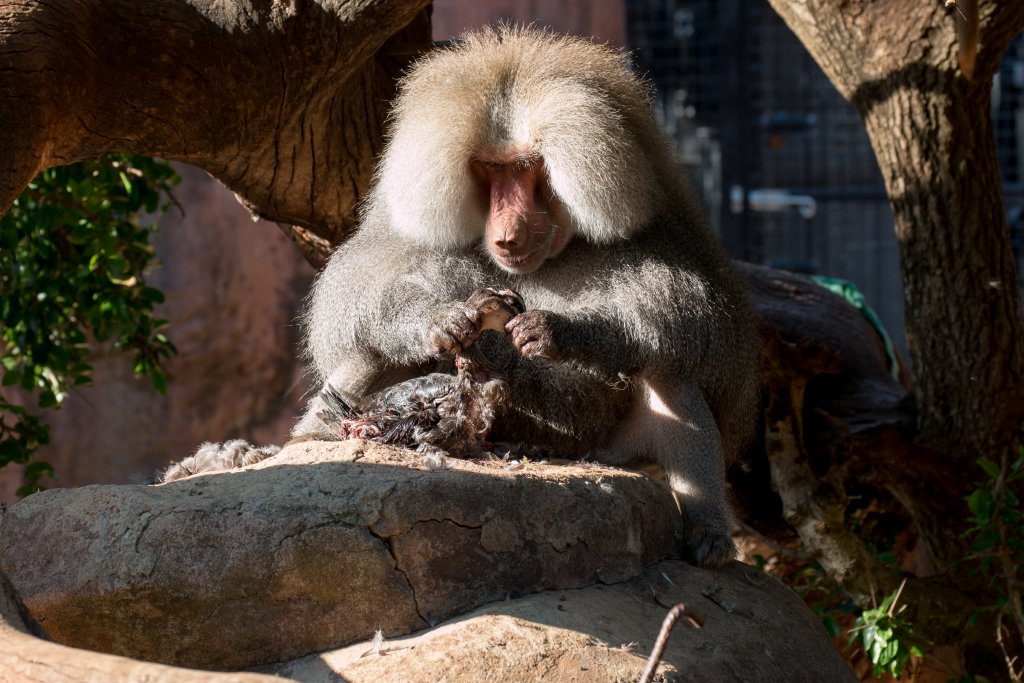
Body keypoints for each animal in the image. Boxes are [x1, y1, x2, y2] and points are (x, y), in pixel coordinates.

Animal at [163, 26, 760, 569]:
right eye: (489, 169)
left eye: (527, 167)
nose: (508, 235)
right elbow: (360, 293)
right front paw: (441, 321)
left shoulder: (660, 231)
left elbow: (695, 316)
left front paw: (558, 332)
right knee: (367, 351)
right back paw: (291, 446)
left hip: (607, 451)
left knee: (667, 365)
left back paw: (708, 532)